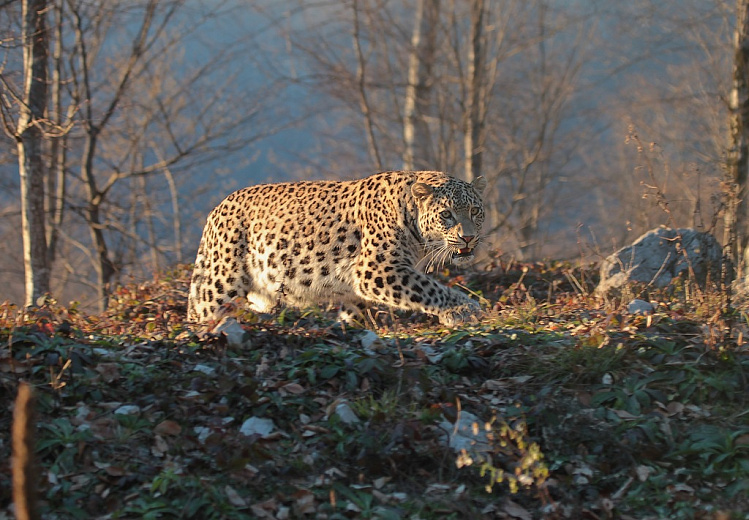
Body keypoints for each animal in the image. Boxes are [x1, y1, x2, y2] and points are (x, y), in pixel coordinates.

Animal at [187, 171, 486, 324]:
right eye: (446, 214)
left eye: (475, 210)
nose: (468, 238)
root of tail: (217, 208)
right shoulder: (377, 269)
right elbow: (430, 289)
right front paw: (465, 310)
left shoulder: (361, 285)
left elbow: (355, 311)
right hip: (219, 283)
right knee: (201, 311)